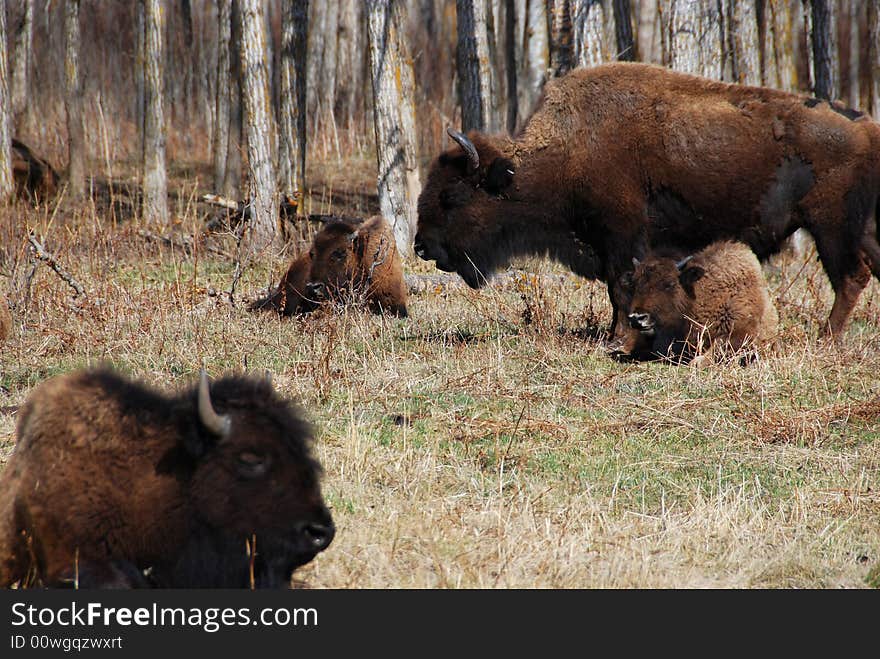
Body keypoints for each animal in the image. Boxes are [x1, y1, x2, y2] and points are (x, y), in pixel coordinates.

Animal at [416, 62, 880, 340]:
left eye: (451, 196)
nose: (421, 246)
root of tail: (867, 128)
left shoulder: (621, 239)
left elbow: (620, 288)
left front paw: (618, 336)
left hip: (831, 226)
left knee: (850, 277)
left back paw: (826, 338)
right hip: (864, 227)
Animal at [612, 241, 776, 366]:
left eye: (670, 283)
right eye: (634, 284)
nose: (637, 318)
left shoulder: (743, 331)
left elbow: (721, 345)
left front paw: (698, 362)